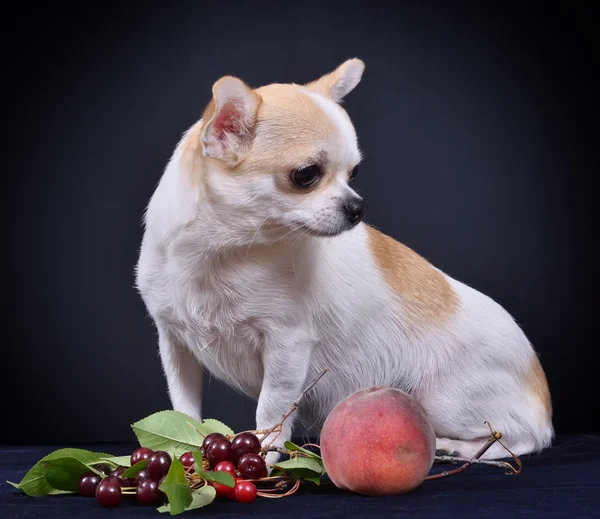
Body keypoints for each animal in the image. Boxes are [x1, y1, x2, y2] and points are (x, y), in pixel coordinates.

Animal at [136, 59, 552, 466]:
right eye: (306, 175)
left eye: (353, 173)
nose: (358, 206)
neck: (222, 252)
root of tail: (541, 394)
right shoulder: (174, 345)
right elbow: (183, 408)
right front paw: (185, 453)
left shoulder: (287, 347)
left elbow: (270, 410)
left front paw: (263, 458)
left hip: (443, 401)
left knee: (523, 437)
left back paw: (461, 448)